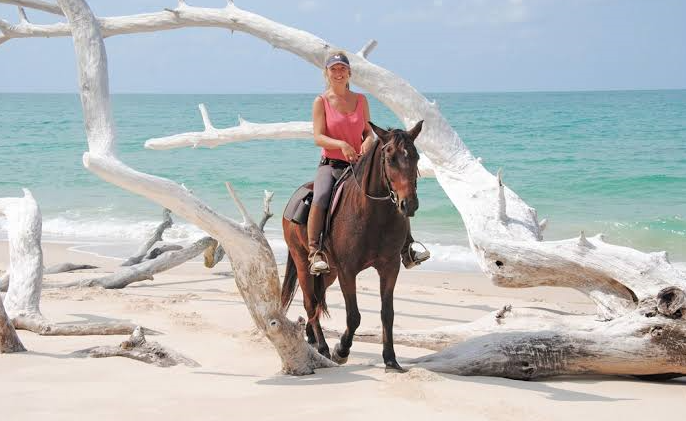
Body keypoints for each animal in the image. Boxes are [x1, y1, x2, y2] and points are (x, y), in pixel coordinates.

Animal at [281, 120, 423, 372]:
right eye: (390, 158)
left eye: (416, 156)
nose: (409, 204)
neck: (373, 213)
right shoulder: (348, 271)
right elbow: (354, 316)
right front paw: (341, 350)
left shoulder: (390, 267)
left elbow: (388, 313)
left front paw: (391, 360)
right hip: (302, 262)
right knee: (310, 303)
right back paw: (323, 347)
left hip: (329, 272)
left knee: (317, 302)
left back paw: (312, 337)